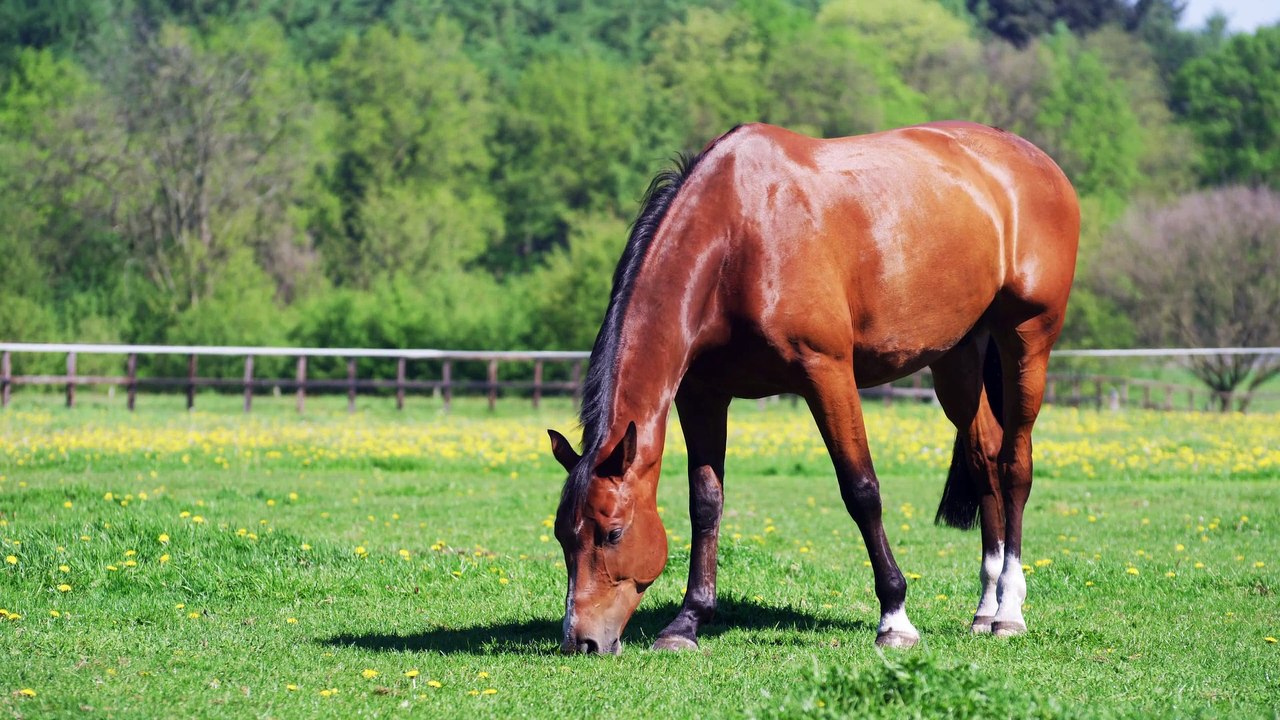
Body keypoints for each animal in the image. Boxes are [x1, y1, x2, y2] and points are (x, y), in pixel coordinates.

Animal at [546, 121, 1079, 654]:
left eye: (613, 533)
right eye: (562, 536)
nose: (581, 641)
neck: (737, 238)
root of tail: (1037, 162)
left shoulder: (827, 374)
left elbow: (861, 490)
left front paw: (895, 618)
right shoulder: (701, 394)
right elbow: (705, 503)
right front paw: (687, 621)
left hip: (1026, 339)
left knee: (1014, 466)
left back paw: (1009, 610)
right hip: (957, 356)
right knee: (984, 458)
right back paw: (985, 608)